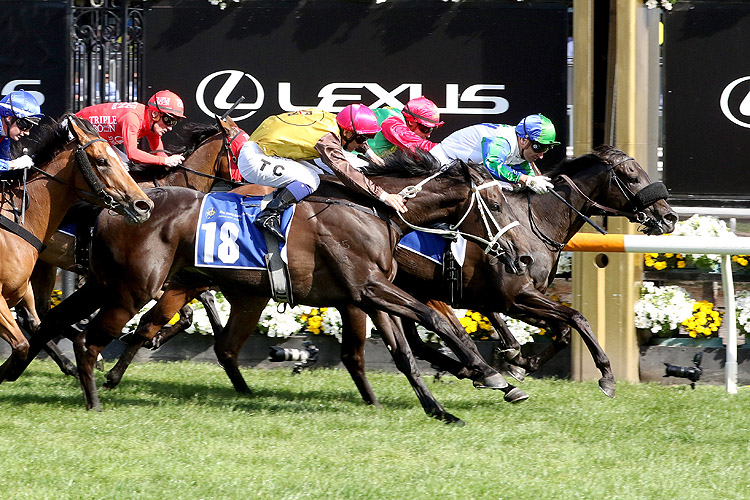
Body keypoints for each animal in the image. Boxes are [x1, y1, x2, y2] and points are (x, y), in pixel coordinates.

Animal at [17, 151, 536, 422]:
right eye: (494, 202)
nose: (525, 257)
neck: (375, 213)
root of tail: (119, 205)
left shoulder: (368, 295)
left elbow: (405, 354)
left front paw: (440, 409)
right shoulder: (368, 289)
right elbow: (433, 319)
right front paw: (491, 373)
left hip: (114, 282)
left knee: (54, 320)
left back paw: (17, 370)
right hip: (132, 289)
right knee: (87, 337)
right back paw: (92, 396)